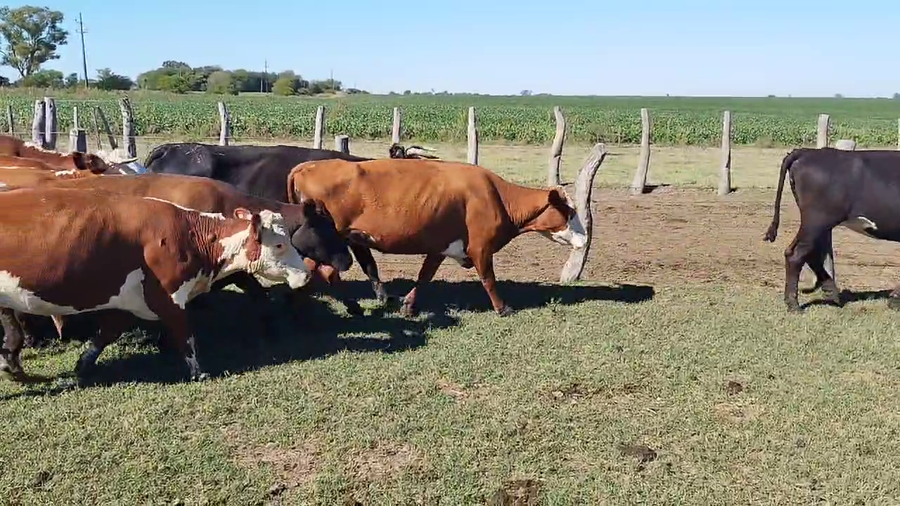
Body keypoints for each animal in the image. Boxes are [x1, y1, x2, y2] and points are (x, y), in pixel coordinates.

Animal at [0, 186, 312, 383]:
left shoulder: (130, 299)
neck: (190, 234)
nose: (306, 274)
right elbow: (186, 335)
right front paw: (198, 372)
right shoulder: (168, 296)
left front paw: (84, 362)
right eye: (280, 244)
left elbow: (106, 333)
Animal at [286, 158, 588, 317]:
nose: (585, 241)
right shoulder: (481, 248)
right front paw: (503, 308)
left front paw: (408, 305)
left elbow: (424, 276)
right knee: (321, 272)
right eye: (569, 211)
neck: (496, 196)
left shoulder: (440, 247)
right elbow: (489, 279)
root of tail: (307, 165)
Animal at [764, 147, 900, 312]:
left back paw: (830, 291)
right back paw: (794, 304)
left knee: (809, 253)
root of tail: (808, 151)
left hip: (818, 224)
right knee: (796, 255)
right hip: (817, 220)